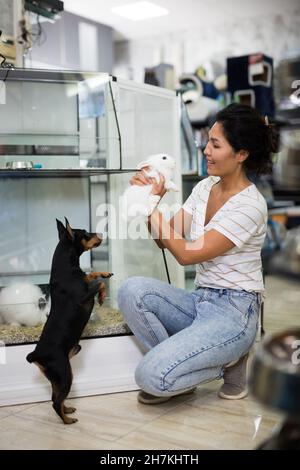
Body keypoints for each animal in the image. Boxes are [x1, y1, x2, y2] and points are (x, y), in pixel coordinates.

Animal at [25, 218, 112, 424]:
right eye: (86, 234)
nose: (101, 234)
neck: (67, 270)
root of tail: (36, 355)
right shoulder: (83, 298)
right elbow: (97, 284)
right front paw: (102, 296)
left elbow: (92, 275)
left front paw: (104, 274)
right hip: (65, 374)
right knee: (55, 402)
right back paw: (67, 421)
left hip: (57, 377)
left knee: (55, 397)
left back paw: (68, 410)